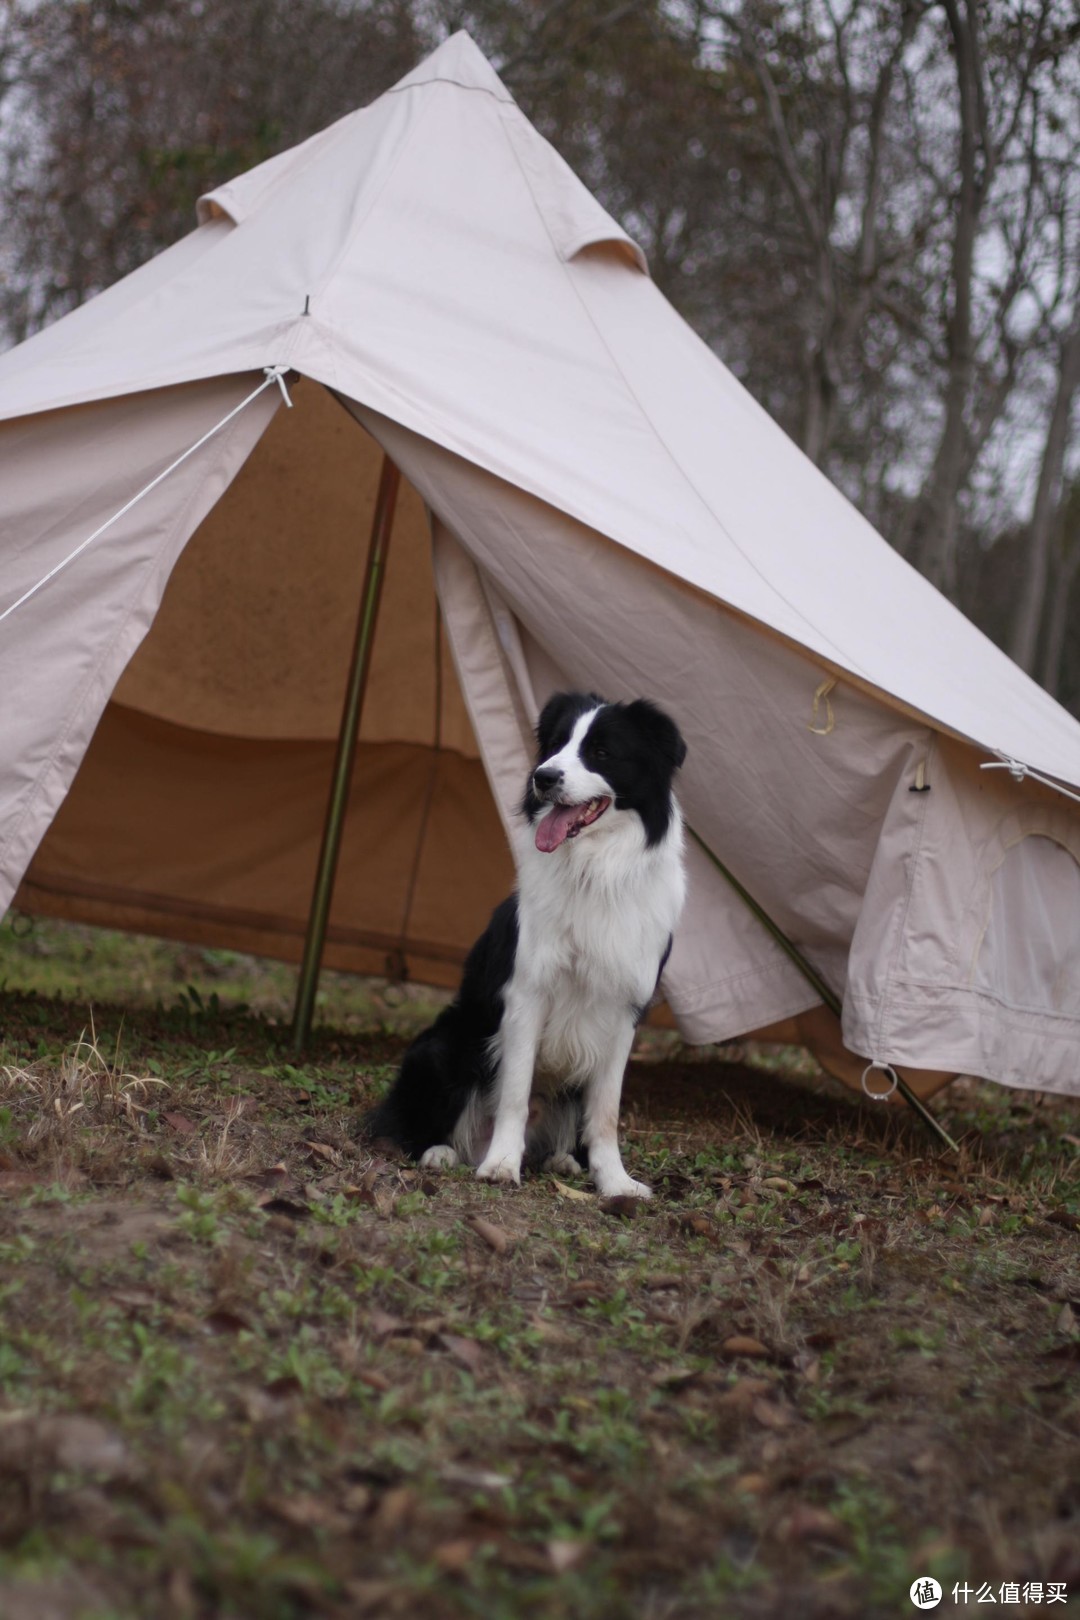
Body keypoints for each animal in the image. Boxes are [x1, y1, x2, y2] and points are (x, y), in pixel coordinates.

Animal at [367, 690, 689, 1198]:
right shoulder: (527, 994)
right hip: (440, 1047)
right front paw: (500, 1164)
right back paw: (442, 1152)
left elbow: (606, 1111)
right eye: (555, 745)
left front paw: (615, 1182)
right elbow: (515, 1093)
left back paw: (563, 1160)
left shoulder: (624, 1010)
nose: (544, 776)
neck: (595, 870)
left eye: (601, 752)